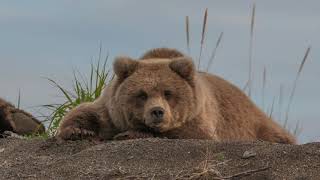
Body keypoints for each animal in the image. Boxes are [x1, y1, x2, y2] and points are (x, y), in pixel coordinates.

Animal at [56, 47, 296, 143]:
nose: (157, 112)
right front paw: (79, 131)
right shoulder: (111, 111)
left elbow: (193, 134)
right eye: (141, 94)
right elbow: (86, 111)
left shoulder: (199, 117)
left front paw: (131, 134)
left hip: (257, 125)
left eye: (168, 92)